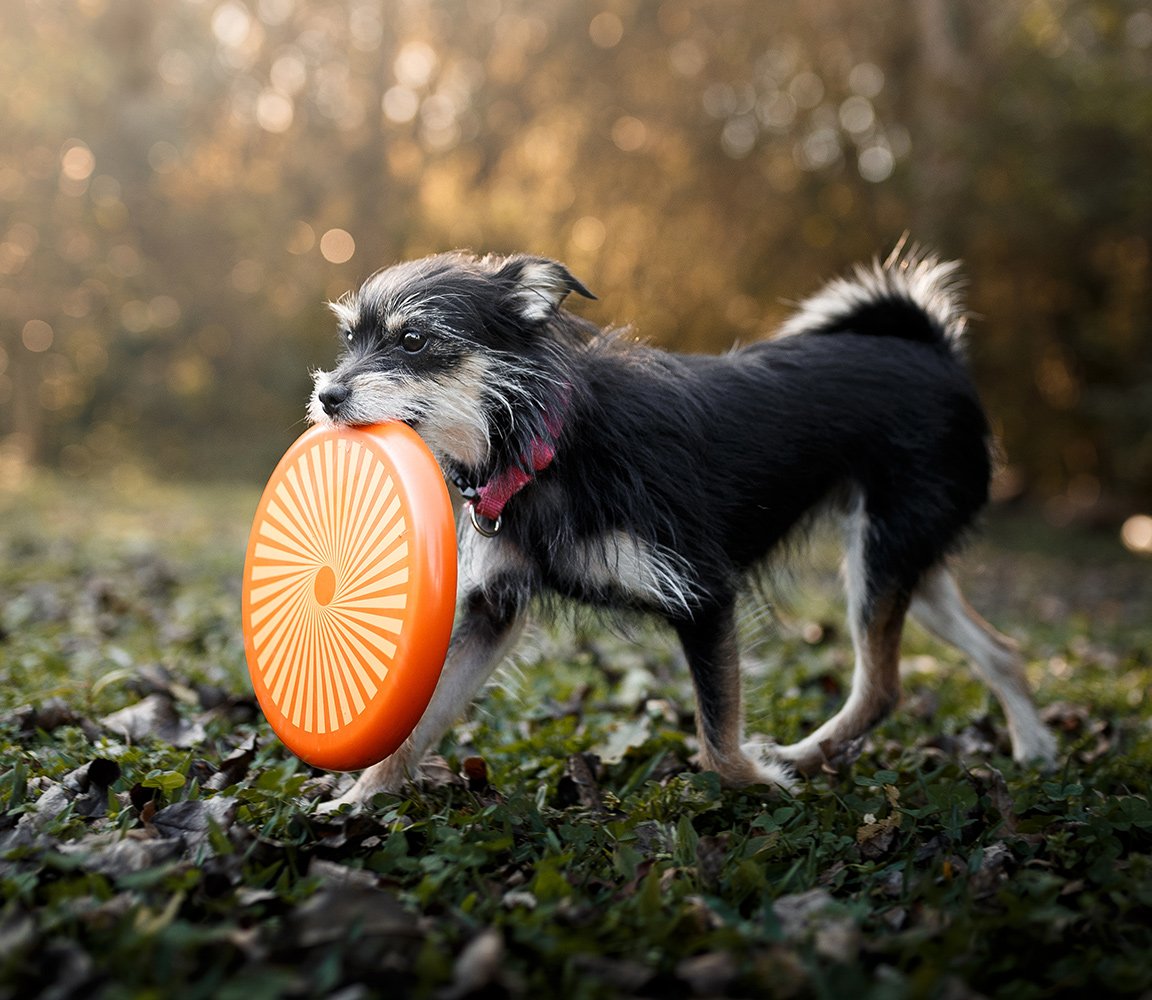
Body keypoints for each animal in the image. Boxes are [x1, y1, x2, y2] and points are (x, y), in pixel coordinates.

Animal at [306, 247, 1055, 806]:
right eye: (350, 340)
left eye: (413, 340)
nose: (327, 395)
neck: (550, 445)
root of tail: (934, 351)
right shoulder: (493, 610)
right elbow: (419, 722)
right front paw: (357, 804)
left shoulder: (704, 596)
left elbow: (717, 741)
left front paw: (761, 783)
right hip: (904, 562)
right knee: (1000, 650)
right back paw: (1036, 747)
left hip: (882, 554)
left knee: (880, 686)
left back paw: (805, 755)